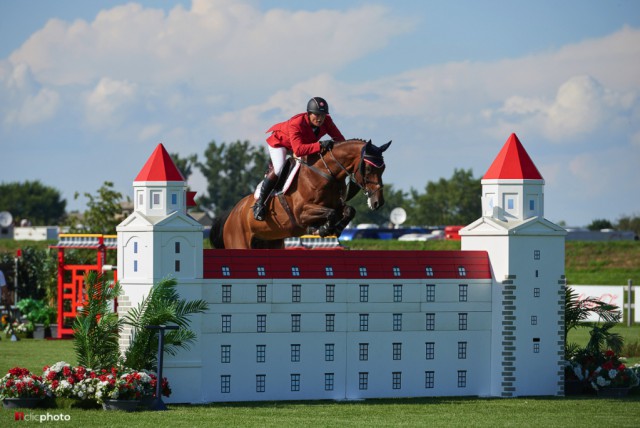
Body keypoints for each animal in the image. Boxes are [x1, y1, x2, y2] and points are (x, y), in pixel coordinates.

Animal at [210, 139, 390, 249]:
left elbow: (348, 211)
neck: (325, 173)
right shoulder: (301, 213)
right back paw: (259, 209)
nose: (378, 202)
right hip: (239, 242)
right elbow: (331, 213)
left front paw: (335, 228)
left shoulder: (337, 205)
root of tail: (232, 213)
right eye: (368, 168)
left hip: (271, 243)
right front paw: (323, 229)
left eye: (383, 168)